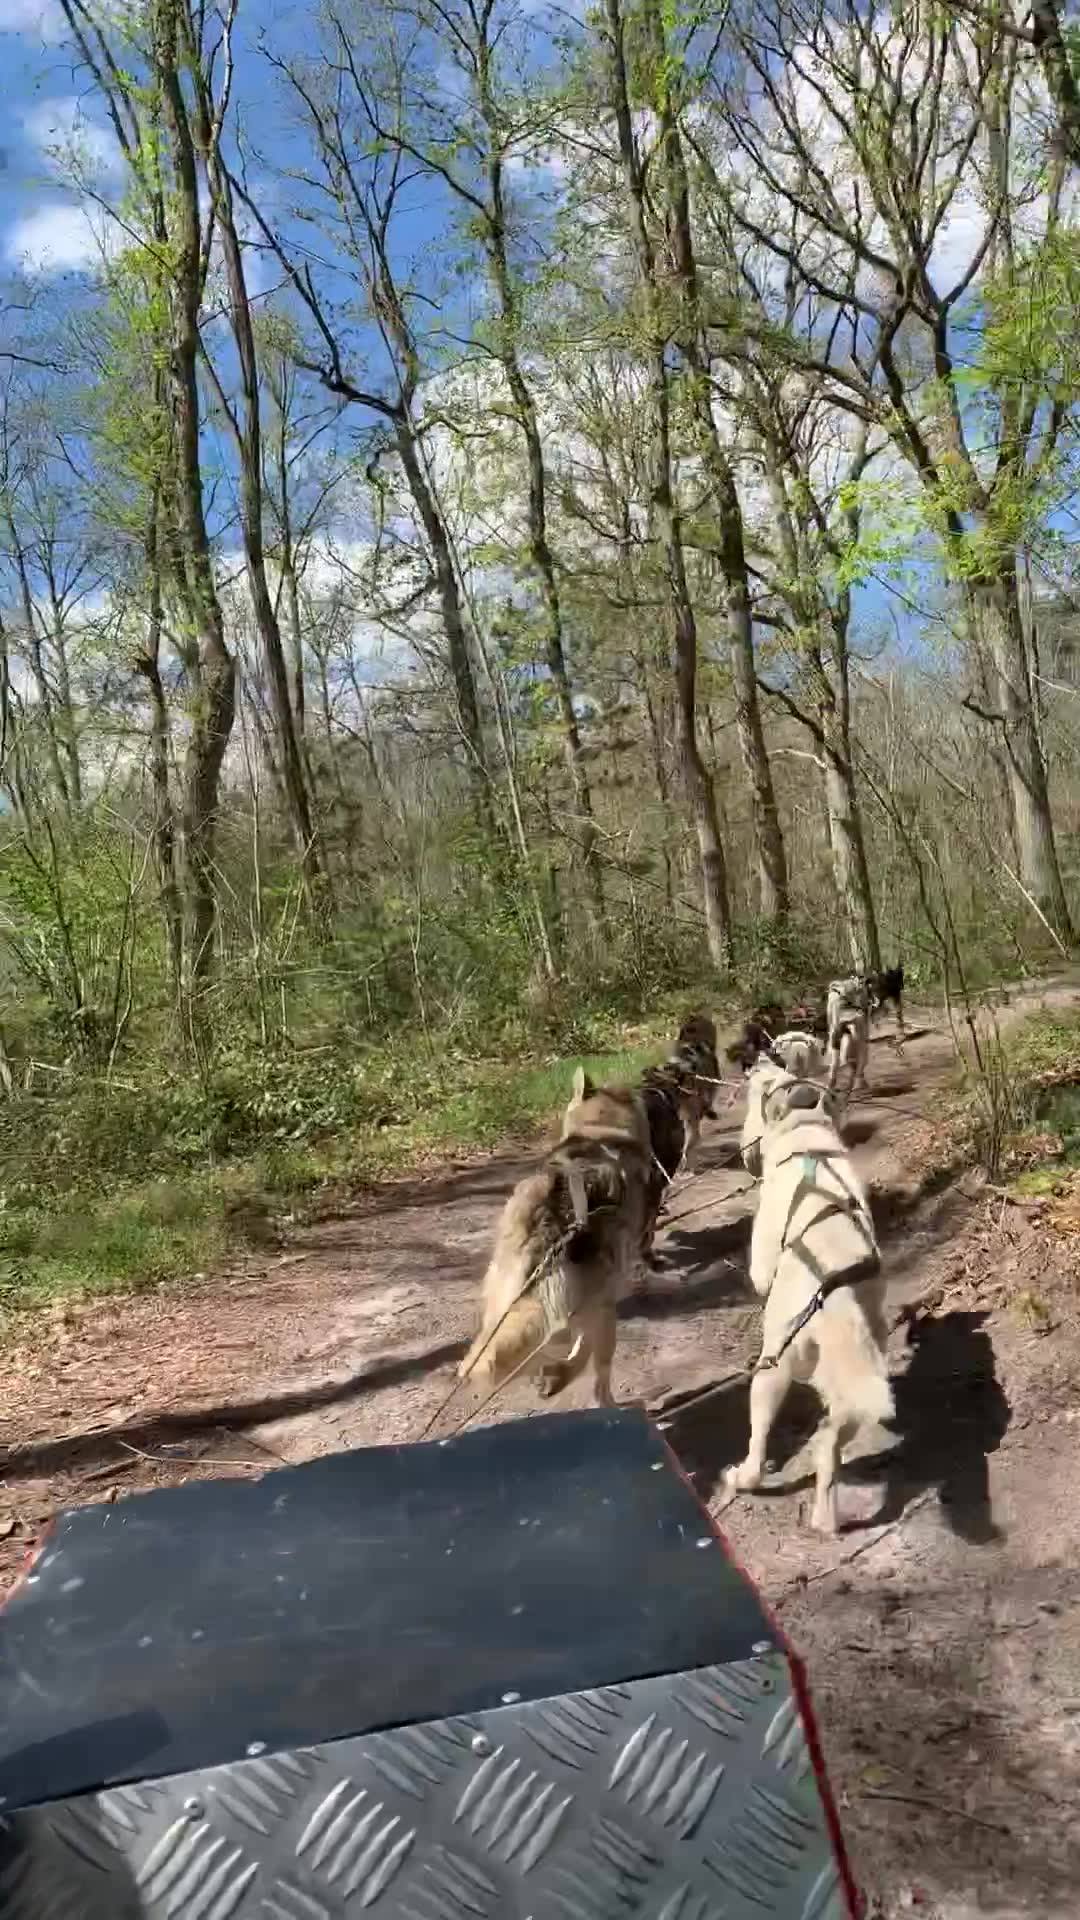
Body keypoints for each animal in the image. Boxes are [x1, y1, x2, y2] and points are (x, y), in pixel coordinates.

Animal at [455, 1067, 645, 1413]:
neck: (597, 1132)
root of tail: (548, 1215)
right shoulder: (602, 1302)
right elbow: (588, 1357)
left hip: (509, 1299)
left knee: (493, 1355)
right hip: (588, 1307)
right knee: (588, 1365)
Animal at [722, 1052, 891, 1528]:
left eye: (753, 1095)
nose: (758, 1058)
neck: (805, 1137)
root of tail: (835, 1298)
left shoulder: (762, 1266)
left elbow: (759, 1277)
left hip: (773, 1369)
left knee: (759, 1447)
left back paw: (742, 1476)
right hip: (856, 1383)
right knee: (830, 1442)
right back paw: (824, 1517)